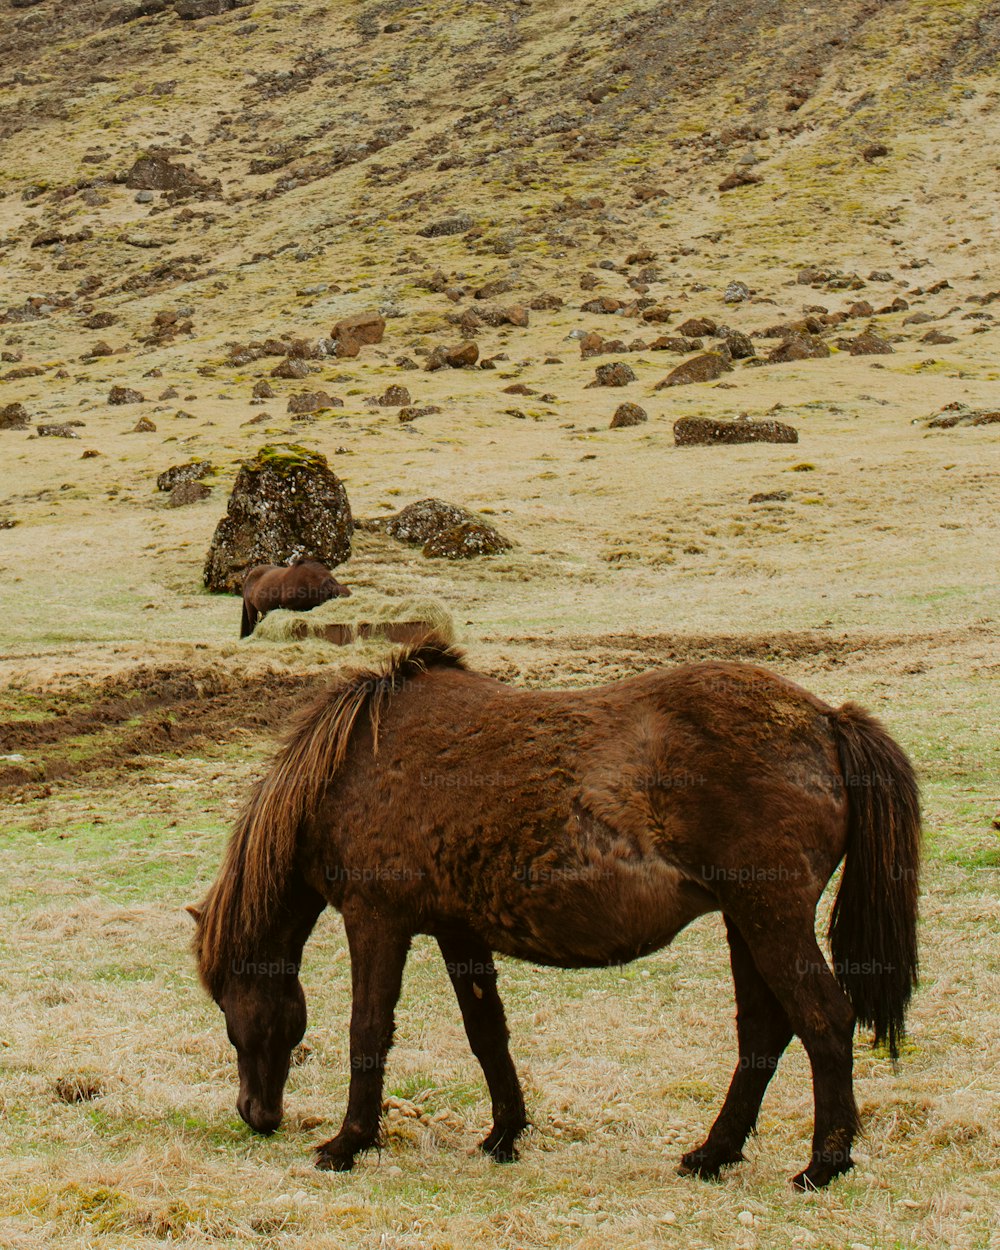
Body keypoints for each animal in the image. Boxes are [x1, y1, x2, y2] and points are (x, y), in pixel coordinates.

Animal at [191, 635, 920, 1190]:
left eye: (230, 1010)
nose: (255, 1114)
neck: (351, 769)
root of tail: (827, 721)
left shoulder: (377, 921)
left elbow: (367, 1032)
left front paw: (347, 1144)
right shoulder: (457, 931)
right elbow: (487, 1033)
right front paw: (504, 1133)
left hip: (771, 918)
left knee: (825, 1021)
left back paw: (823, 1165)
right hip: (747, 923)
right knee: (764, 1033)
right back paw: (713, 1153)